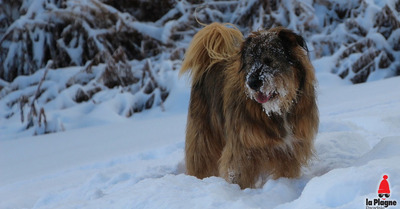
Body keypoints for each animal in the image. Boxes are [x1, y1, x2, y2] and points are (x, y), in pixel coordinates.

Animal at [181, 22, 318, 189]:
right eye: (250, 62)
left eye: (268, 60)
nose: (252, 83)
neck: (276, 109)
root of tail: (209, 62)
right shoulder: (242, 149)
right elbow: (240, 174)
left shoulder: (289, 149)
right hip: (202, 135)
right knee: (201, 159)